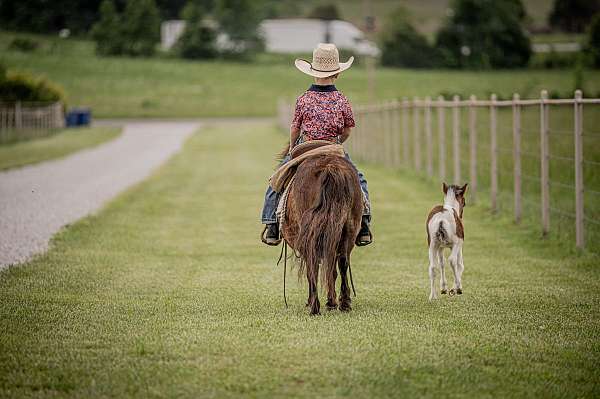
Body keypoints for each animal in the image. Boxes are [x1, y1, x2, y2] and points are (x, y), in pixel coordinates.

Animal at [282, 153, 364, 316]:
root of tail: (330, 167)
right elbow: (332, 269)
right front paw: (332, 301)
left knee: (313, 266)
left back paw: (315, 307)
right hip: (348, 228)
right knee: (343, 262)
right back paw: (344, 304)